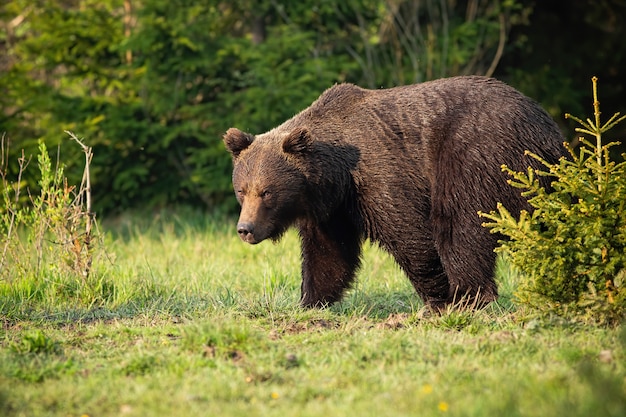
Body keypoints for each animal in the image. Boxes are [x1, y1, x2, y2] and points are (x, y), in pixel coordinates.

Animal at [222, 75, 564, 308]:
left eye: (266, 192)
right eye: (242, 190)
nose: (245, 229)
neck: (335, 176)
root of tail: (546, 125)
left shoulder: (381, 176)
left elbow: (411, 234)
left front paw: (438, 298)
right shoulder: (332, 210)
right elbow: (328, 255)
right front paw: (310, 301)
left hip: (479, 154)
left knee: (460, 223)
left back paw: (470, 296)